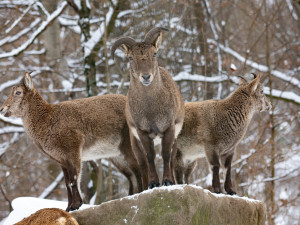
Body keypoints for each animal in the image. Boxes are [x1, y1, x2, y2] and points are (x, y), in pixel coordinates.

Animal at [111, 26, 184, 188]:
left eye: (154, 53)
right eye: (131, 57)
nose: (146, 77)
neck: (151, 110)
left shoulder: (169, 128)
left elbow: (166, 154)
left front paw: (167, 181)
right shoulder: (142, 132)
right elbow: (149, 156)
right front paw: (154, 183)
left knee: (172, 157)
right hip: (134, 142)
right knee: (142, 164)